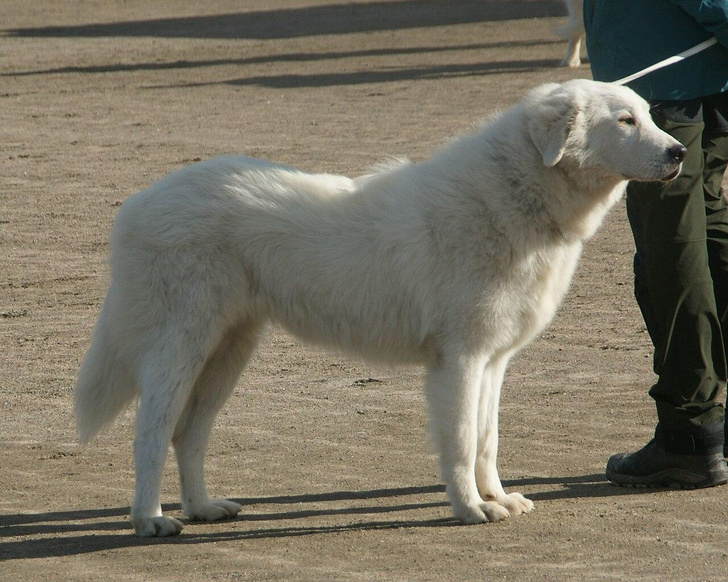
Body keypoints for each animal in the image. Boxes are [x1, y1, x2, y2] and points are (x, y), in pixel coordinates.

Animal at [77, 78, 684, 540]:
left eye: (649, 116)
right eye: (625, 121)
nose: (680, 153)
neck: (513, 192)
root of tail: (138, 203)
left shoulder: (493, 361)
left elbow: (486, 440)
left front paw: (498, 499)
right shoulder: (459, 361)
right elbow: (461, 443)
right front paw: (471, 510)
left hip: (230, 351)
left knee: (189, 434)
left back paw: (202, 509)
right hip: (182, 347)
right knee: (152, 433)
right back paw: (151, 521)